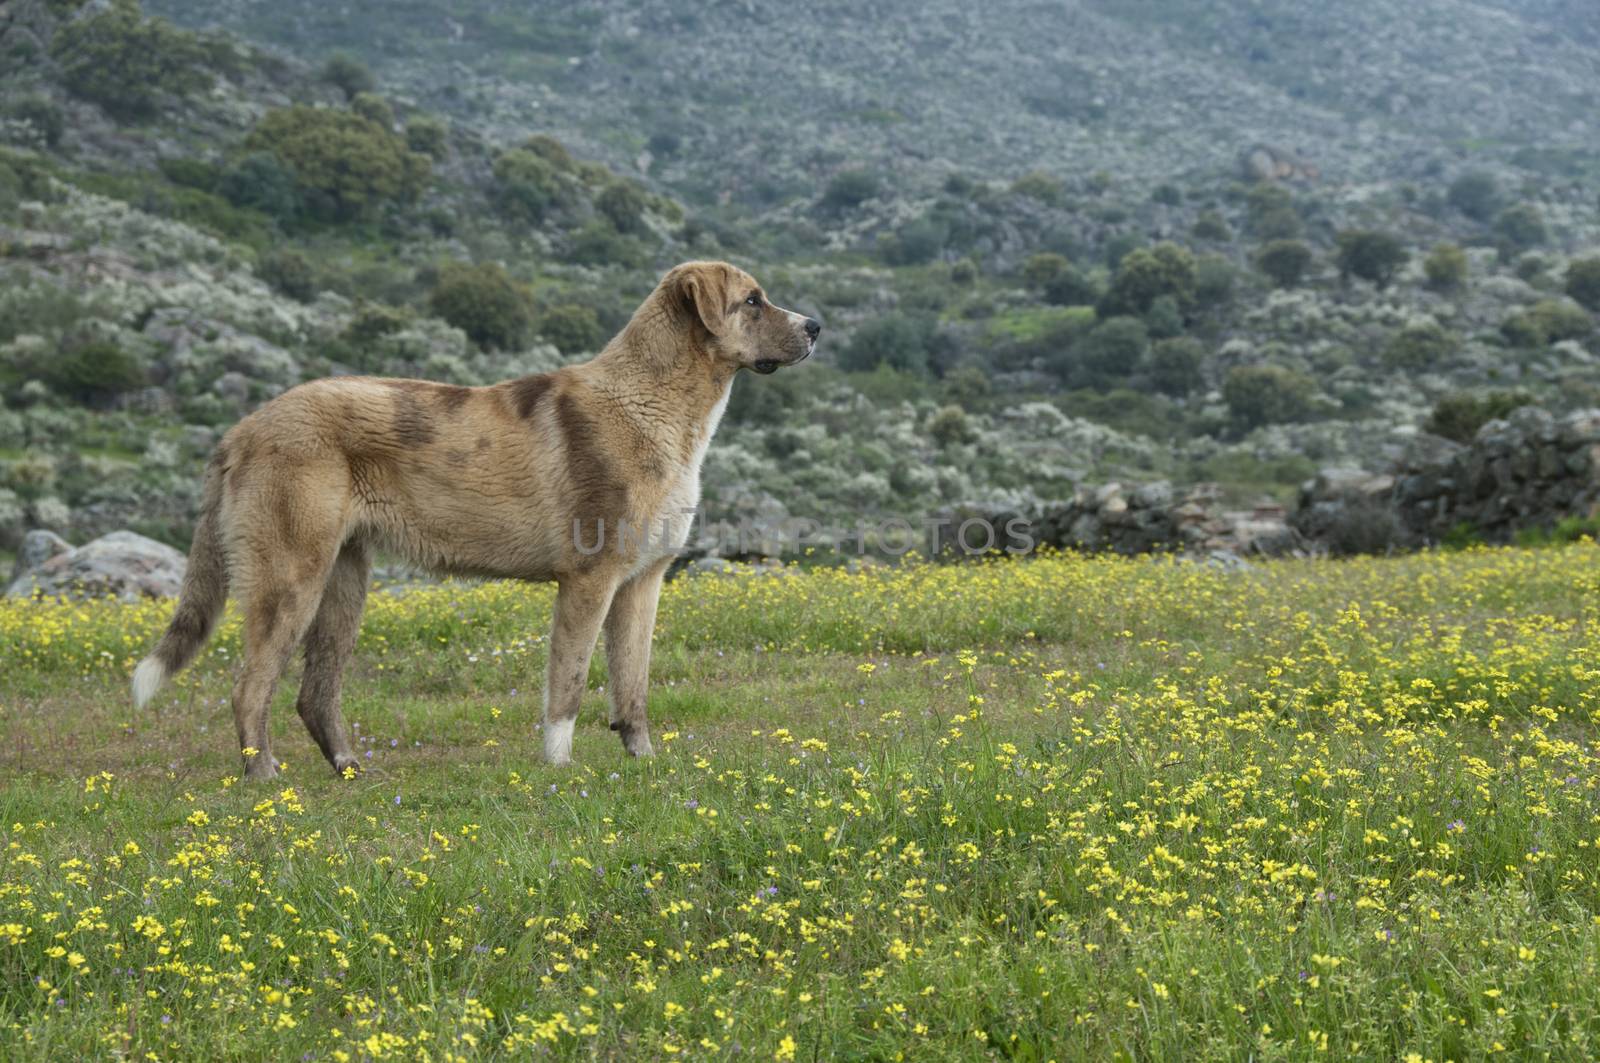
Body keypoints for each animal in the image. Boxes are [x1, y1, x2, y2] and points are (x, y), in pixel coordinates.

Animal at [131, 260, 819, 778]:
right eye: (752, 301)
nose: (816, 325)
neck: (653, 401)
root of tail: (243, 428)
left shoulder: (641, 584)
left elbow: (634, 686)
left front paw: (643, 762)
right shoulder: (588, 582)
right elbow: (568, 685)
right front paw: (558, 769)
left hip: (344, 584)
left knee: (314, 692)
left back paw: (349, 768)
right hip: (290, 578)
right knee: (251, 687)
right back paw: (265, 778)